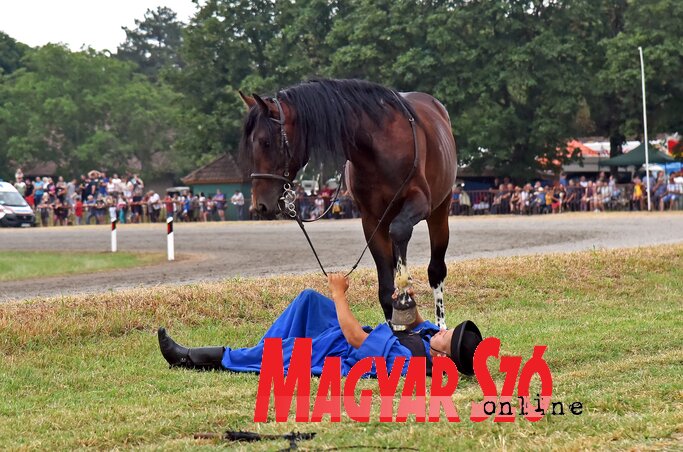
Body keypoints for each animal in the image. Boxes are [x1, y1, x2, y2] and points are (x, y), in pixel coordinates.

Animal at [238, 79, 456, 328]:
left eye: (265, 142)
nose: (260, 205)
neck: (377, 146)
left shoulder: (419, 200)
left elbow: (400, 232)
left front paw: (404, 296)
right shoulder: (372, 221)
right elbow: (385, 290)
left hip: (439, 211)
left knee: (435, 269)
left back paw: (440, 326)